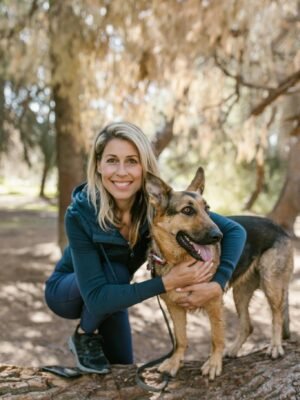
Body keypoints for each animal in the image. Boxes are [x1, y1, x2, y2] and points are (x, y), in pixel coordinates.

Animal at [146, 167, 294, 380]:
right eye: (187, 210)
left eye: (207, 209)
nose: (219, 236)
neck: (178, 261)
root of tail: (279, 227)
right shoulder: (175, 307)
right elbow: (180, 338)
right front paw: (175, 362)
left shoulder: (214, 302)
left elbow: (216, 337)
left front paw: (214, 364)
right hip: (240, 293)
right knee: (248, 325)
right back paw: (233, 350)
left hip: (271, 284)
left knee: (277, 315)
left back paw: (275, 346)